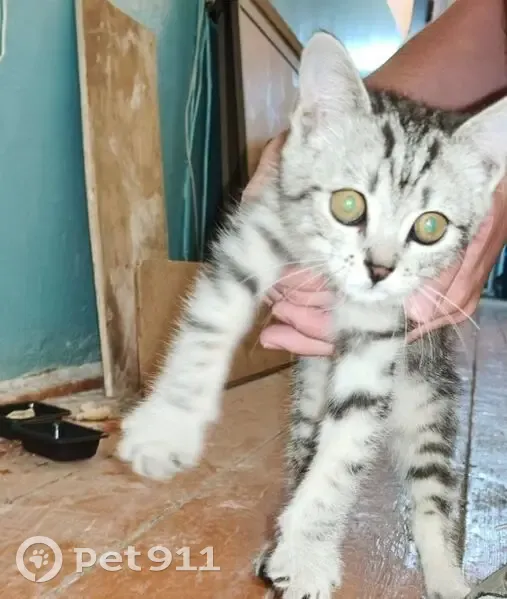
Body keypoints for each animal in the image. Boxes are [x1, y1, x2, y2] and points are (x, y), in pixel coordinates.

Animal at [118, 31, 507, 599]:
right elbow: (208, 326)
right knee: (303, 454)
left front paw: (307, 552)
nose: (379, 269)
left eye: (430, 227)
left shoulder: (378, 336)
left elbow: (344, 453)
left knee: (431, 494)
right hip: (308, 401)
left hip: (428, 401)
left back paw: (446, 577)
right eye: (348, 205)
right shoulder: (256, 232)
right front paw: (168, 426)